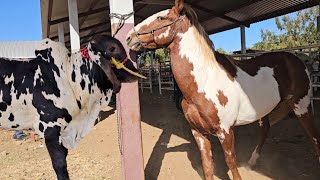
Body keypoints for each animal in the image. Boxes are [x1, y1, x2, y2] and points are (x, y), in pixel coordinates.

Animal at [127, 0, 320, 179]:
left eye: (161, 18)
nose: (129, 37)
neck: (205, 82)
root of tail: (298, 60)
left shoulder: (225, 131)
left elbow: (230, 161)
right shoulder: (198, 132)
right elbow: (207, 165)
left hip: (301, 106)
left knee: (313, 137)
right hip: (264, 110)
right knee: (265, 130)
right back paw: (252, 162)